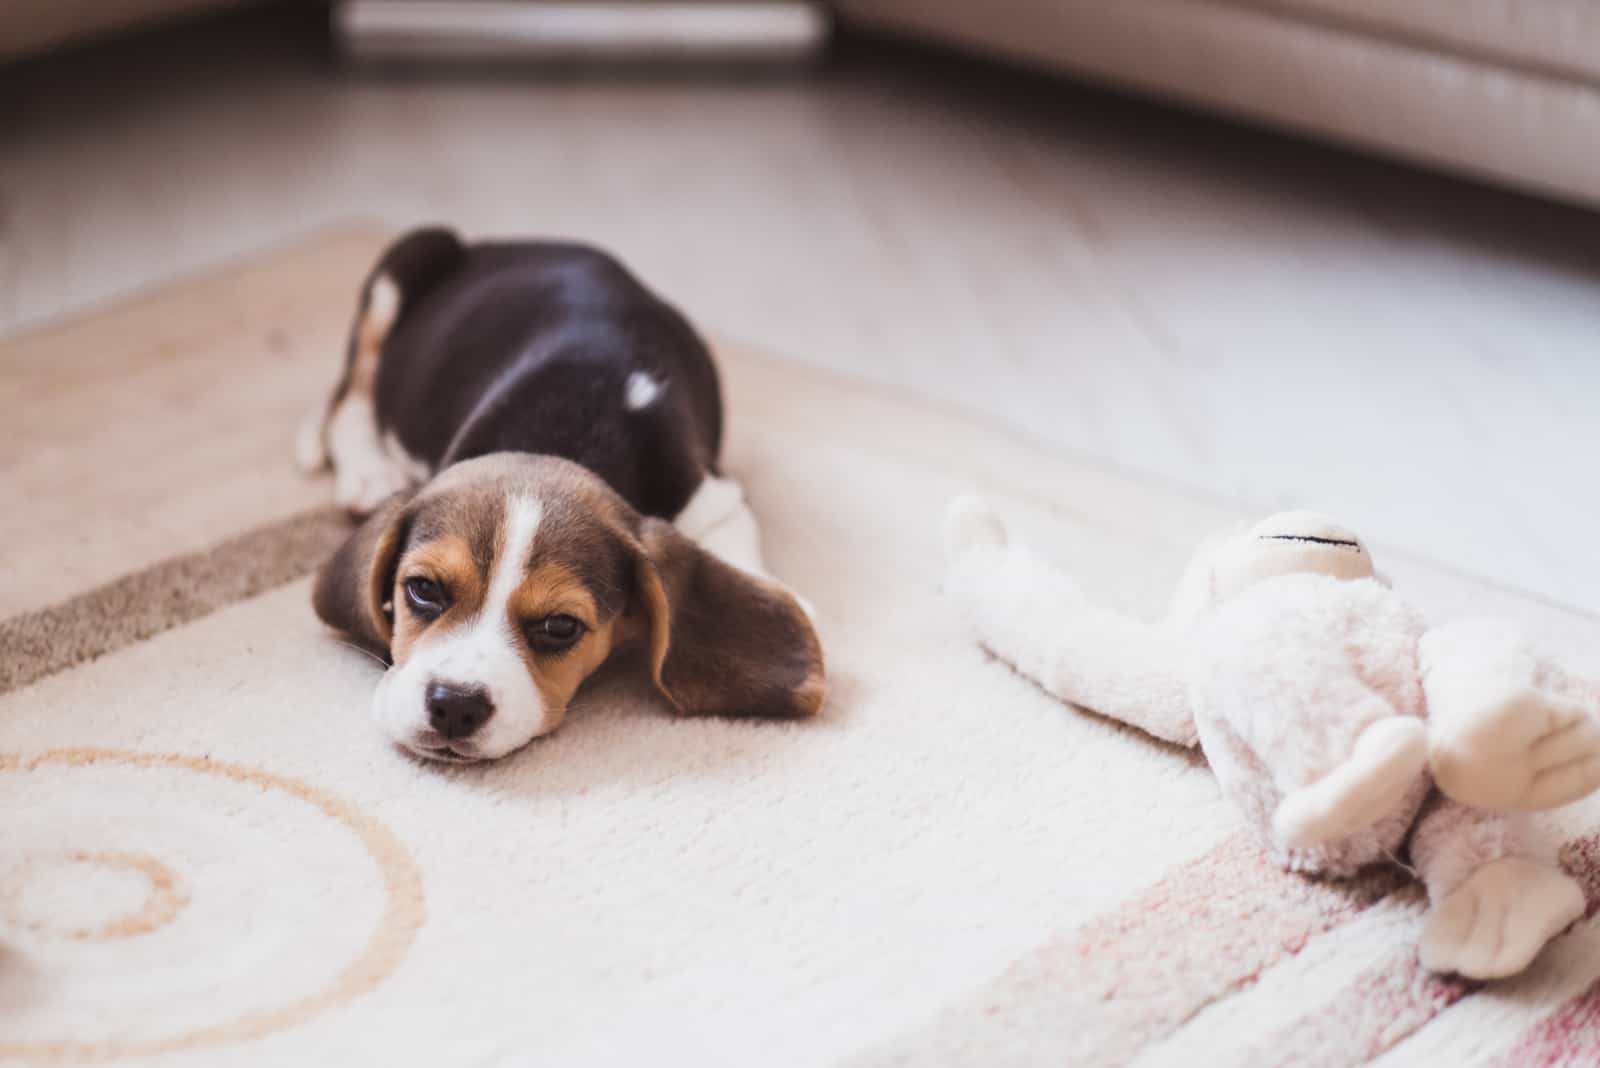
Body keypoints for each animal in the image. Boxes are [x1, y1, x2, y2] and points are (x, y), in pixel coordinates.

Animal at [299, 227, 819, 757]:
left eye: (560, 627)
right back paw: (368, 471)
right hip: (410, 257)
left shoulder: (715, 498)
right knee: (351, 395)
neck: (567, 434)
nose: (454, 705)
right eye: (423, 589)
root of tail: (515, 243)